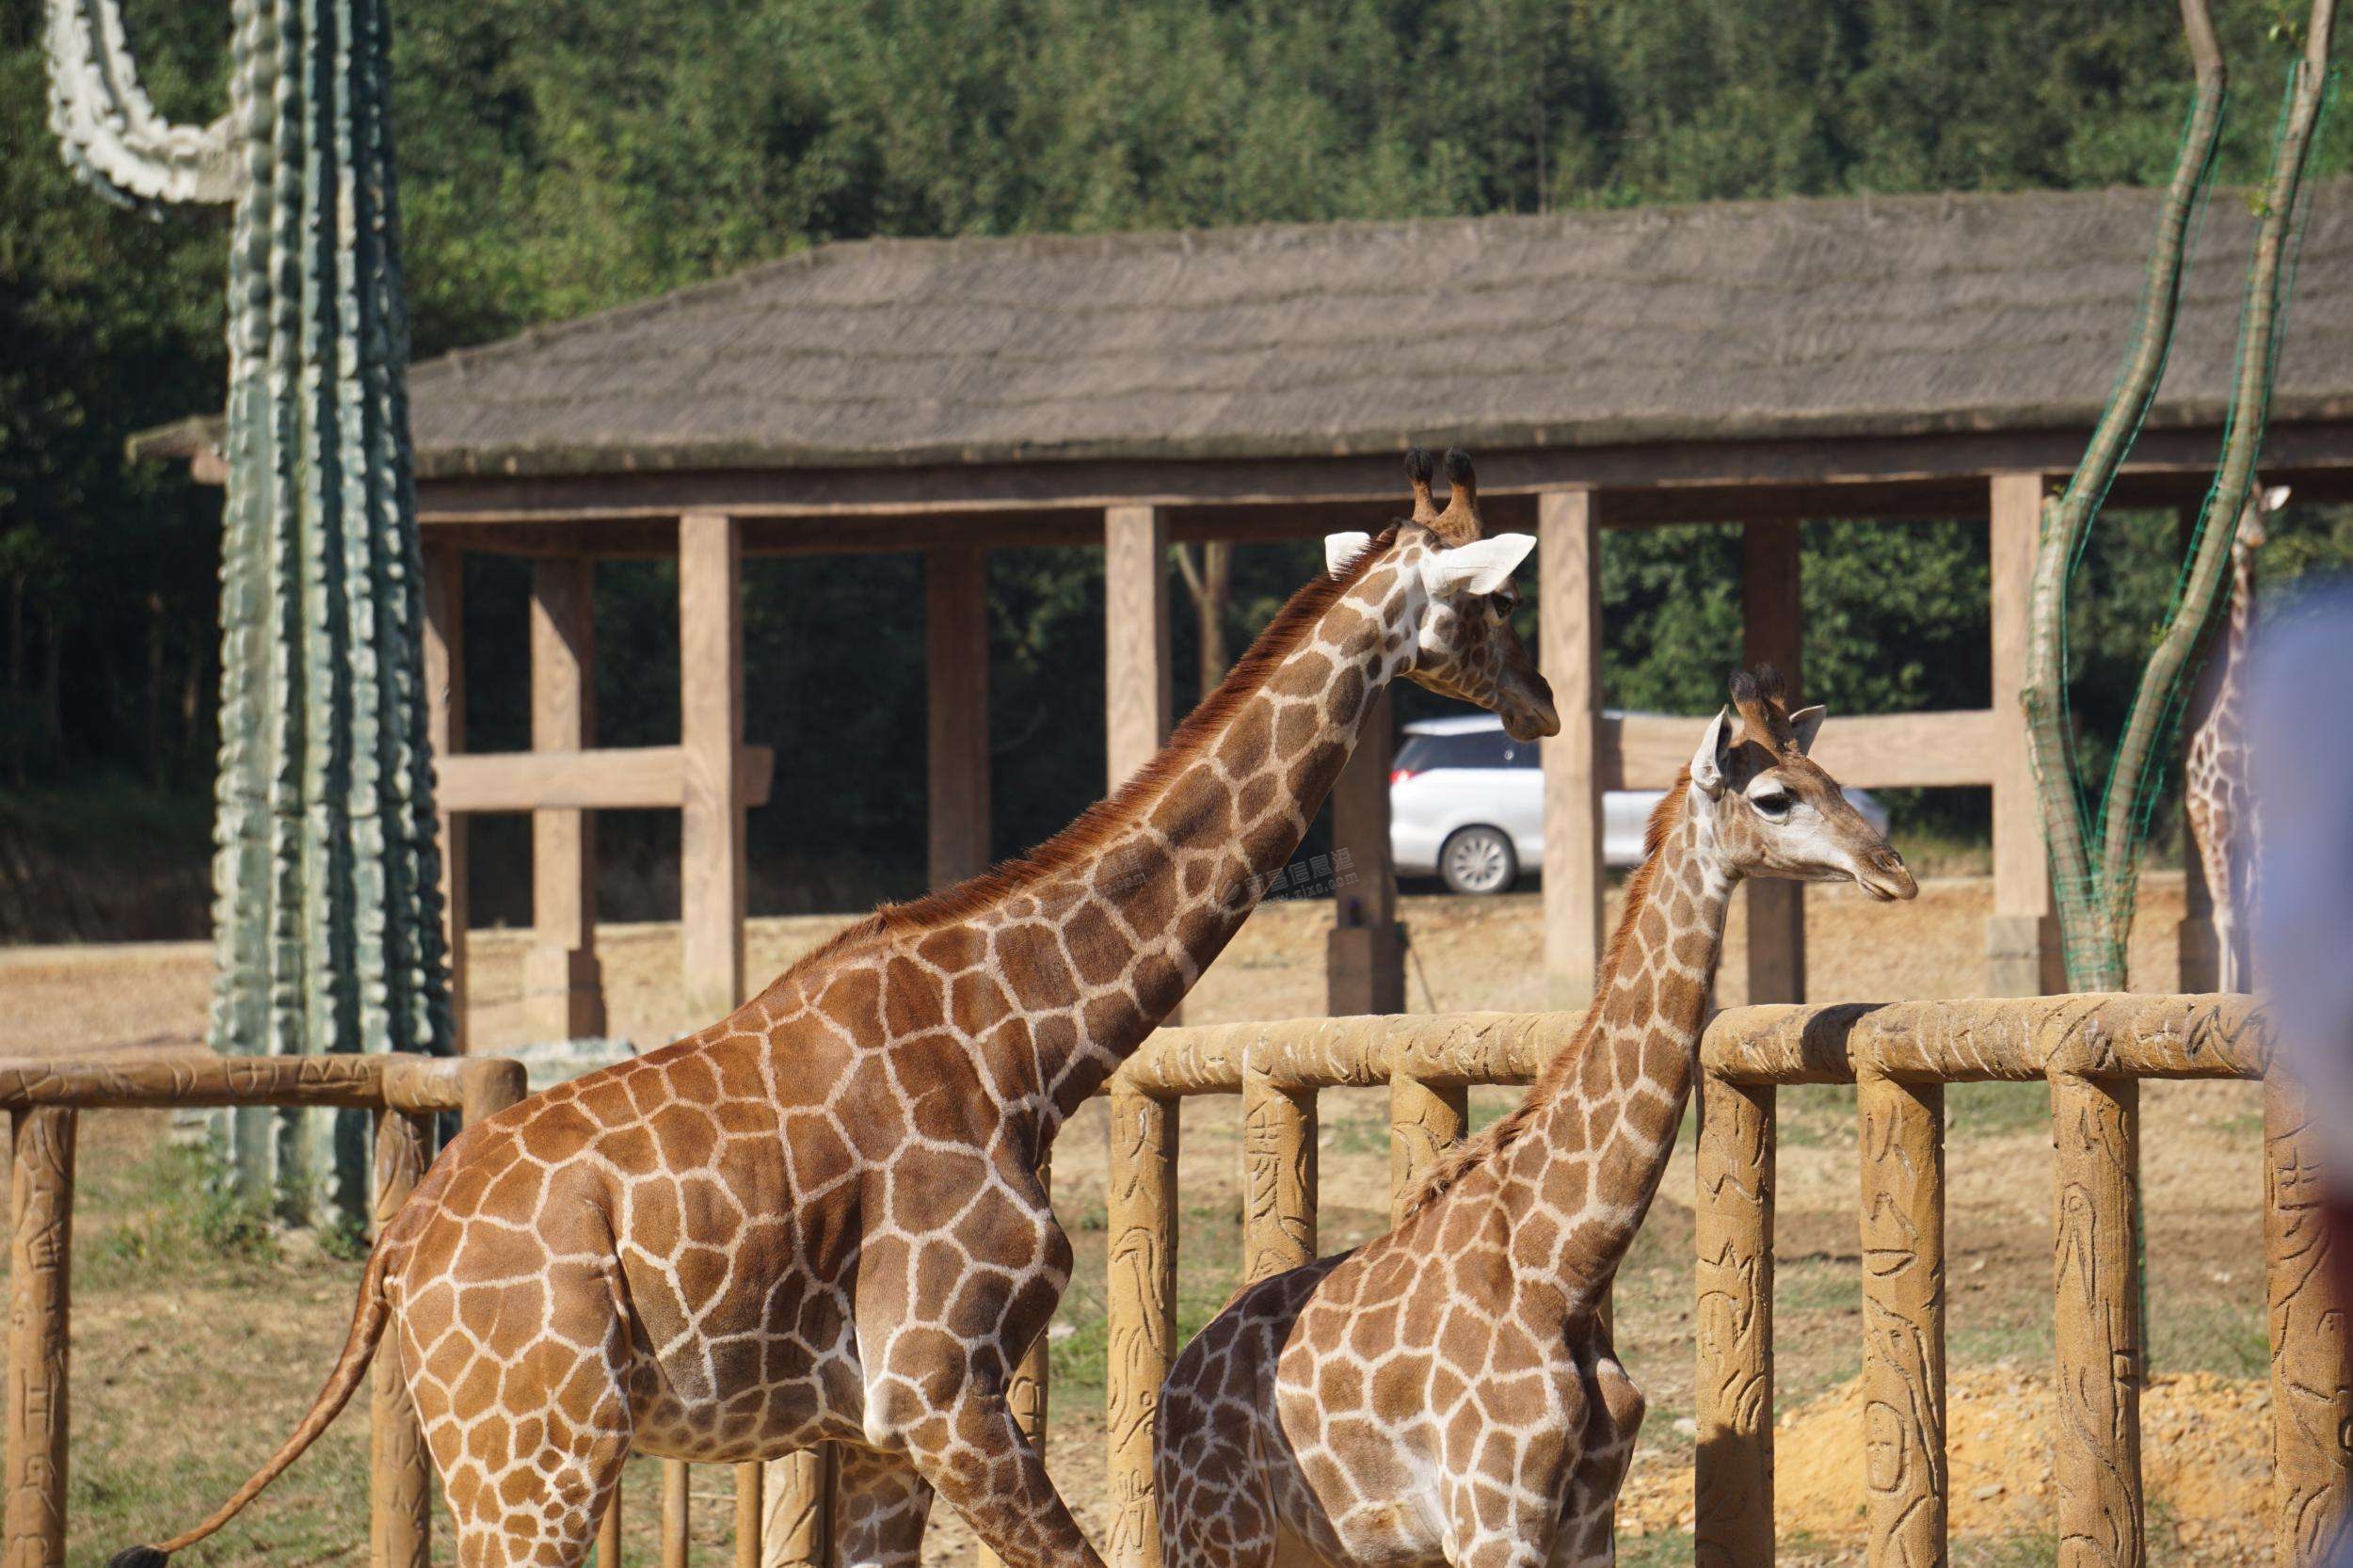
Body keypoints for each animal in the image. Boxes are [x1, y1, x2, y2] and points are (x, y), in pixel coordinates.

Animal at [119, 444, 1572, 1562]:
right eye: (1500, 597)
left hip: (506, 1448)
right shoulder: (938, 1385)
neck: (1027, 1040)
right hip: (534, 1448)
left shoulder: (873, 1429)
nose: (1547, 701)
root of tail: (398, 1250)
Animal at [1153, 668, 1911, 1562]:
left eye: (1831, 779)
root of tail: (1174, 1386)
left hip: (1314, 1542)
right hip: (1214, 1527)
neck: (1565, 1268)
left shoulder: (1587, 1520)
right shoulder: (1492, 1514)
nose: (1893, 870)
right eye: (1774, 797)